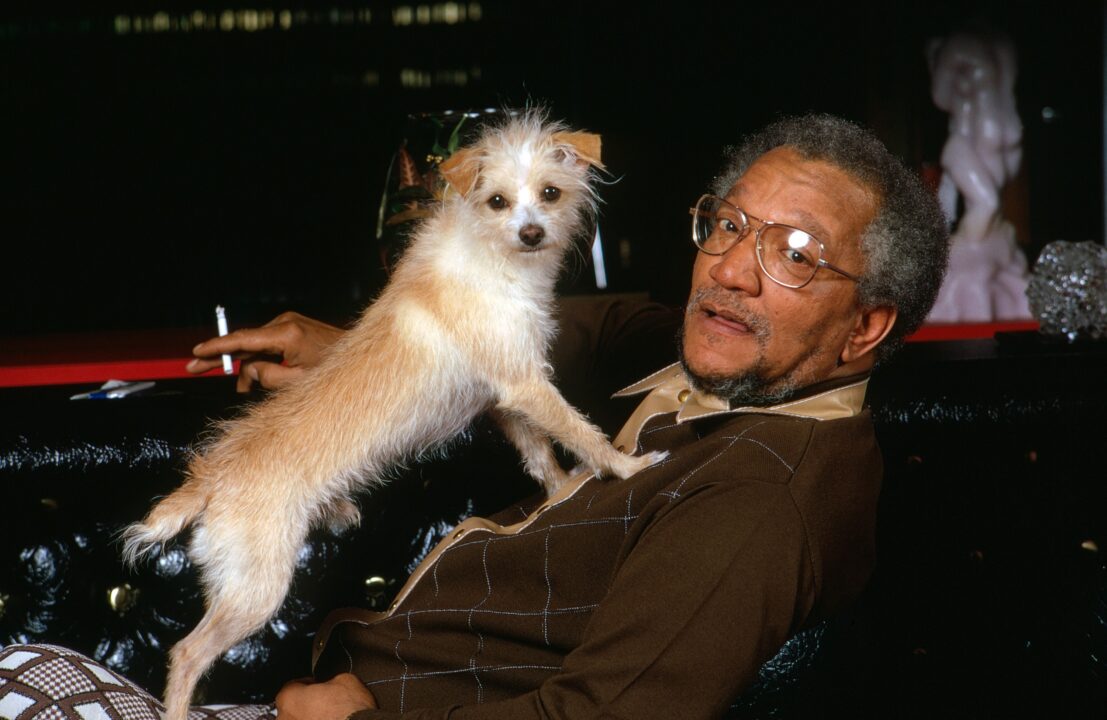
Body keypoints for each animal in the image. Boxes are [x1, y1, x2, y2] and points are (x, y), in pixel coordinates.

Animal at [126, 111, 668, 717]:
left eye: (550, 193)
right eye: (497, 202)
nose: (531, 234)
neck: (493, 259)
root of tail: (209, 479)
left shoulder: (503, 399)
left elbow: (540, 454)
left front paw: (557, 495)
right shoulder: (527, 387)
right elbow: (580, 430)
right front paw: (627, 467)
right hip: (256, 591)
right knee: (186, 653)